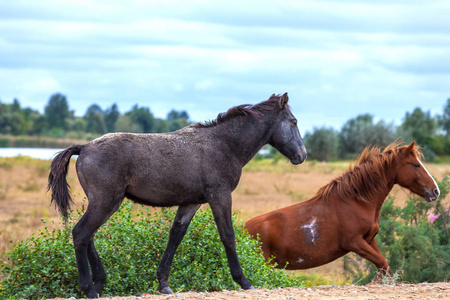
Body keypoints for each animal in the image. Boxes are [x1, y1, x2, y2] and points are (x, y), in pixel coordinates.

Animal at [47, 93, 308, 298]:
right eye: (294, 121)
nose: (302, 155)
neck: (223, 145)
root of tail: (84, 147)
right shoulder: (220, 195)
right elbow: (227, 235)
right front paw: (243, 281)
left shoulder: (190, 203)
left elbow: (176, 236)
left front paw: (163, 283)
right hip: (106, 201)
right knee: (81, 233)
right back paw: (90, 289)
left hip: (104, 202)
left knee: (88, 235)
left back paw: (100, 282)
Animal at [246, 141, 440, 282]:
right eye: (415, 165)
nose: (435, 191)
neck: (356, 201)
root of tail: (242, 229)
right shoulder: (354, 242)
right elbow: (383, 264)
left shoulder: (369, 239)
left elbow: (384, 266)